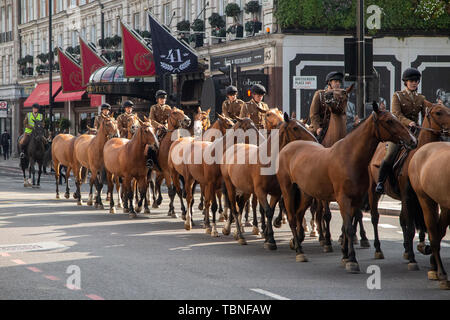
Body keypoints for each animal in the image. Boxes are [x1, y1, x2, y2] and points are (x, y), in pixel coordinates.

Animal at [220, 112, 314, 248]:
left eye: (304, 125)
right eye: (295, 127)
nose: (315, 141)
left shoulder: (276, 193)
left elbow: (271, 211)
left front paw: (269, 237)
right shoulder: (260, 192)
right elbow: (267, 210)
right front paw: (269, 239)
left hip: (246, 190)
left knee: (241, 206)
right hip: (230, 186)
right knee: (234, 208)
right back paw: (240, 236)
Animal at [276, 103, 416, 272]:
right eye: (389, 120)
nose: (412, 140)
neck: (349, 156)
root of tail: (287, 148)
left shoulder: (356, 199)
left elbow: (349, 226)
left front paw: (345, 255)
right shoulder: (343, 199)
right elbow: (348, 227)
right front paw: (352, 260)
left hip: (306, 194)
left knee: (298, 215)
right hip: (288, 190)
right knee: (291, 217)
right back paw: (299, 251)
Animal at [368, 103, 448, 268]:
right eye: (438, 112)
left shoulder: (422, 198)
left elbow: (426, 225)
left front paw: (424, 248)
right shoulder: (408, 196)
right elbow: (411, 228)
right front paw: (412, 258)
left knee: (401, 219)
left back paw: (406, 248)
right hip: (373, 190)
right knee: (375, 217)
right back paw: (378, 249)